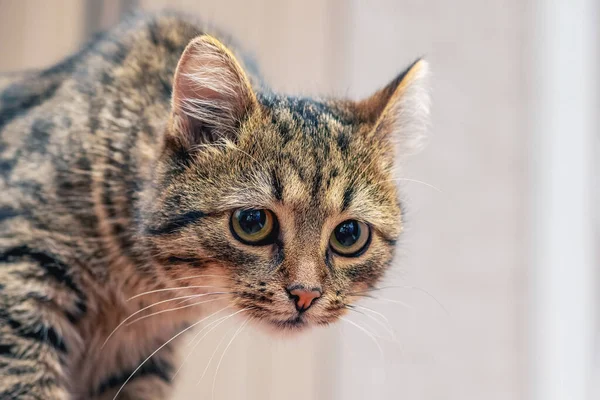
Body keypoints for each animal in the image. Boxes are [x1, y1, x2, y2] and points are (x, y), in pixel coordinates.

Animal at [0, 10, 428, 398]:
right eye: (253, 222)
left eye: (349, 234)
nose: (305, 295)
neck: (142, 287)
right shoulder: (22, 265)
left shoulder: (142, 361)